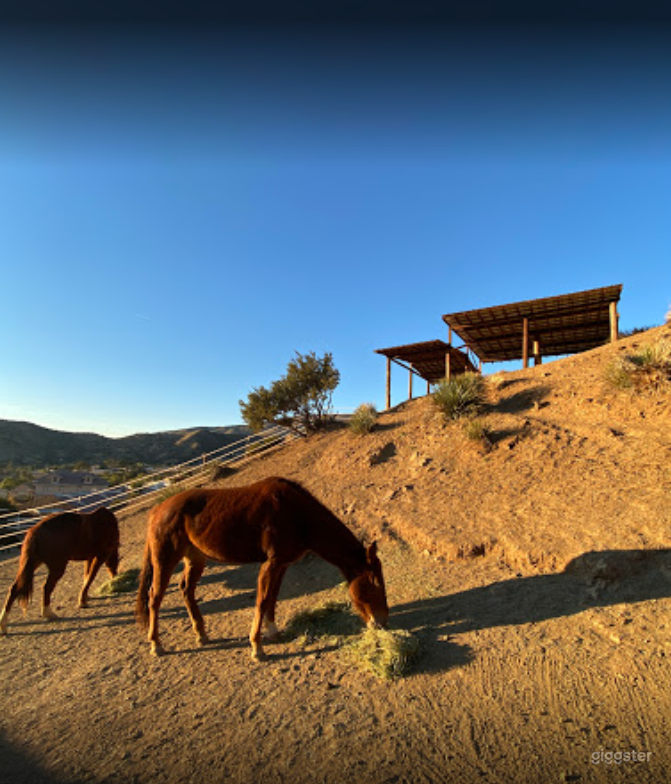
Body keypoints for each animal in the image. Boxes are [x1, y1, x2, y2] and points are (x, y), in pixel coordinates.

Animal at [136, 477, 389, 660]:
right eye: (375, 583)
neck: (297, 515)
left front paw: (273, 631)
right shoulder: (271, 563)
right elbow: (262, 599)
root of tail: (158, 509)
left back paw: (202, 634)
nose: (382, 622)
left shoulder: (282, 565)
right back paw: (156, 645)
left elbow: (272, 598)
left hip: (195, 558)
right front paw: (257, 648)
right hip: (165, 559)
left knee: (186, 589)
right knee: (154, 597)